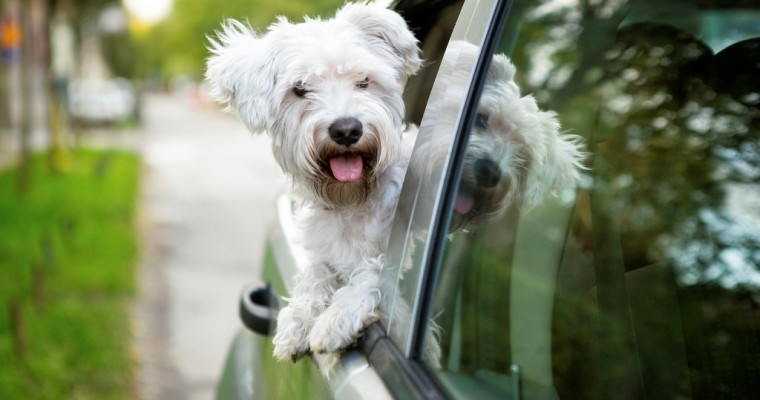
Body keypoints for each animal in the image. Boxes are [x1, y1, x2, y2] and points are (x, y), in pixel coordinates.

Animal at [208, 0, 422, 362]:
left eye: (363, 81)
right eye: (300, 89)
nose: (346, 129)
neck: (351, 199)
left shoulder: (399, 258)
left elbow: (375, 271)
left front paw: (337, 318)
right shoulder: (321, 254)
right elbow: (314, 276)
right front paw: (297, 319)